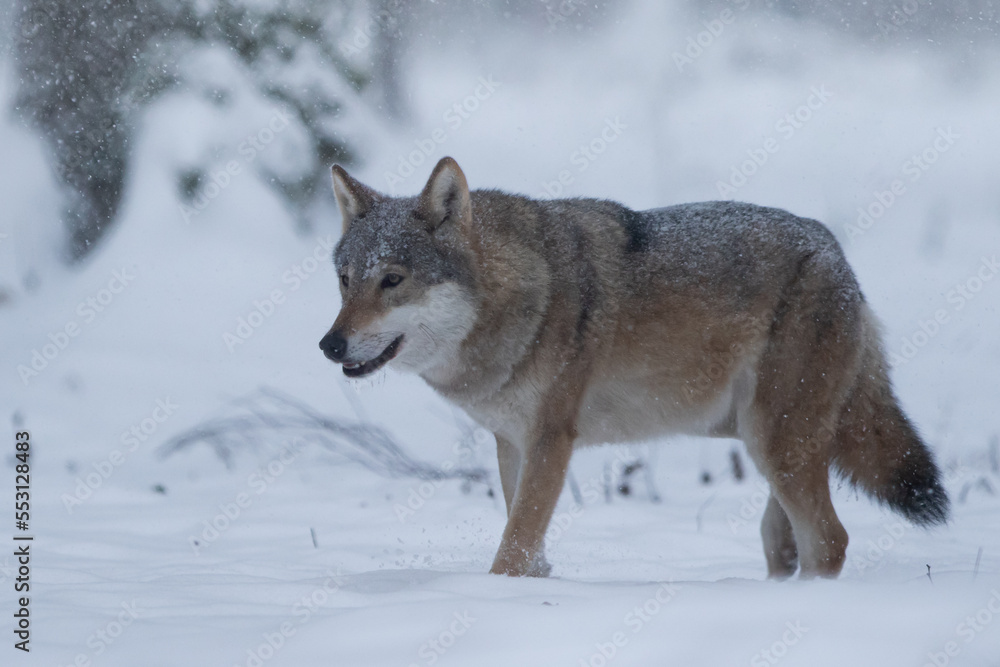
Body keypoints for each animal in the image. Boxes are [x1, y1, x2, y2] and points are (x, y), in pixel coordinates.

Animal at [322, 157, 952, 580]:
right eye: (345, 281)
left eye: (393, 280)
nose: (329, 344)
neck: (517, 298)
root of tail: (836, 253)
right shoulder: (511, 444)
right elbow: (527, 549)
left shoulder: (552, 440)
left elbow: (513, 549)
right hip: (768, 450)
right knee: (789, 545)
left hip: (778, 446)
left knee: (831, 541)